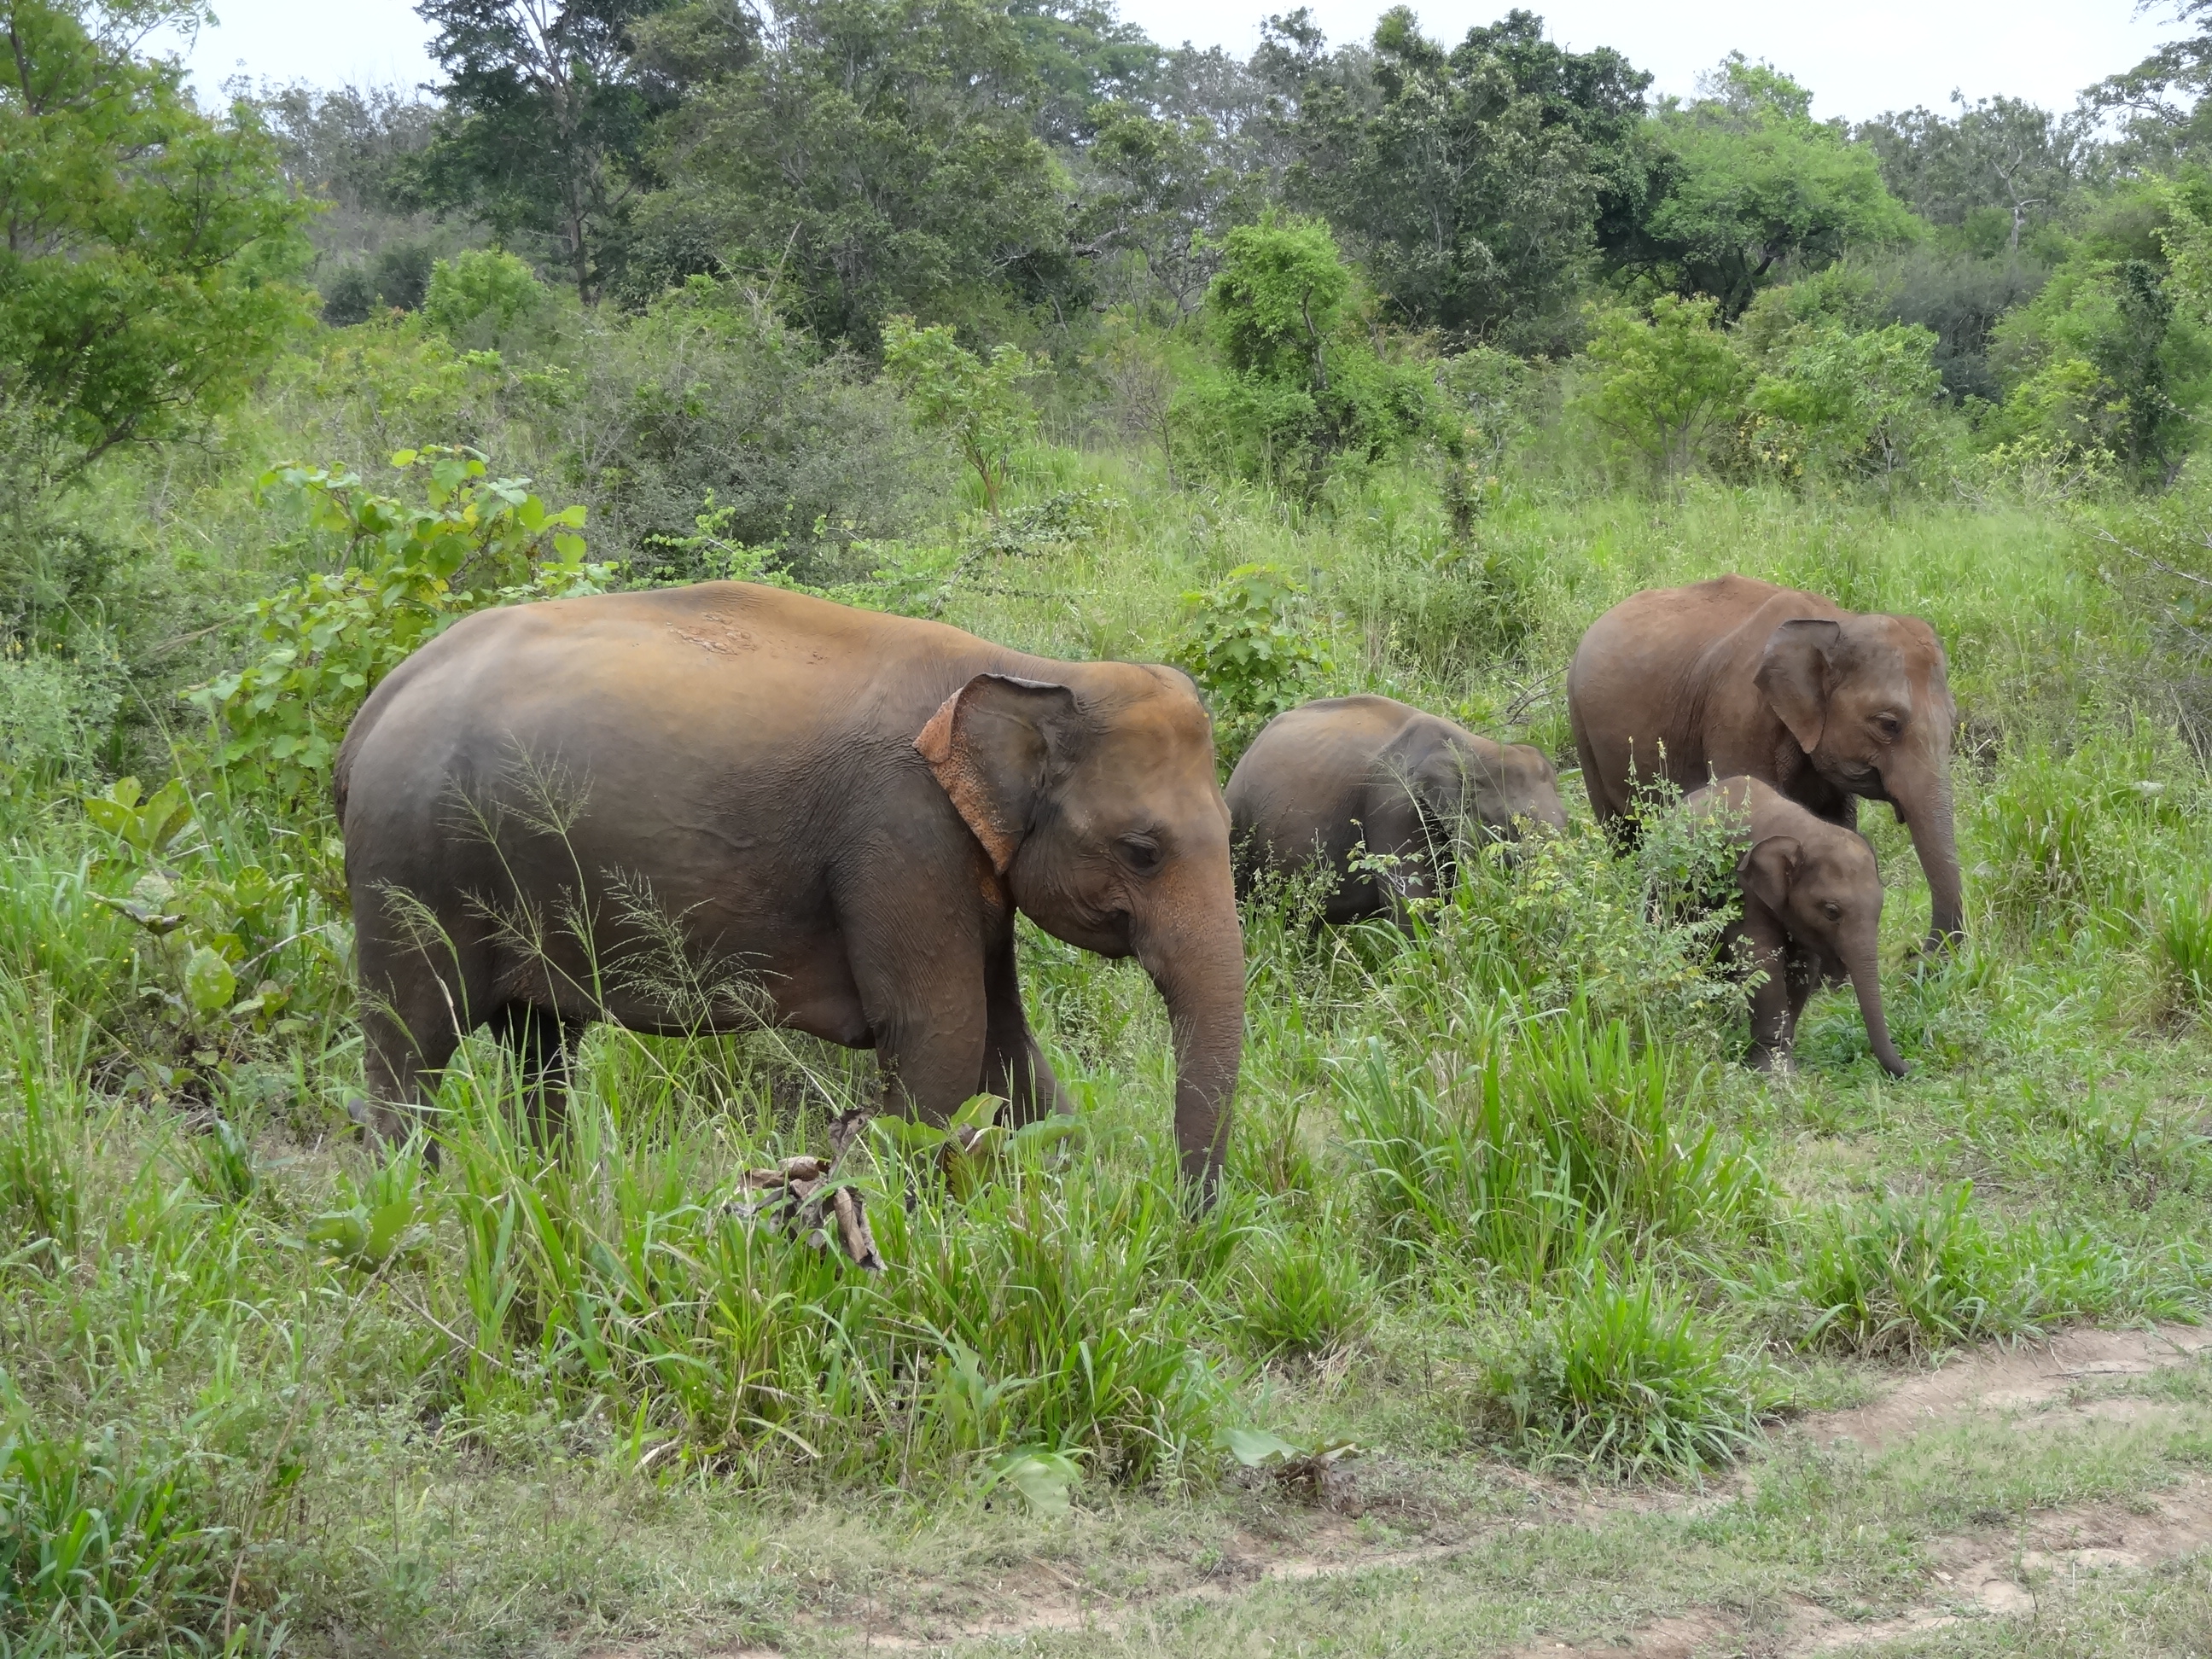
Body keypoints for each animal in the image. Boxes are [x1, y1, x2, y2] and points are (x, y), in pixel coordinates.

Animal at [338, 579, 1256, 1194]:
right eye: (1143, 850)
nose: (1187, 1217)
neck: (1030, 669)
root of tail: (371, 709)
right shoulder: (901, 834)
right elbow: (940, 1037)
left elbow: (1005, 1042)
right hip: (409, 871)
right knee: (411, 1046)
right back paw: (417, 1203)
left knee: (539, 1044)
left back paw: (553, 1192)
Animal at [1566, 579, 1964, 946]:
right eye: (1888, 724)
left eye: (1952, 722)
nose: (1915, 956)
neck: (1837, 623)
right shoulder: (1738, 717)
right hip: (1581, 725)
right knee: (1619, 832)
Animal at [1680, 778, 1911, 1079]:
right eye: (1831, 912)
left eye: (1880, 907)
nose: (1909, 1067)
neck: (1805, 831)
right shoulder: (1744, 889)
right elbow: (1762, 962)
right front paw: (1776, 1075)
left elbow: (1802, 967)